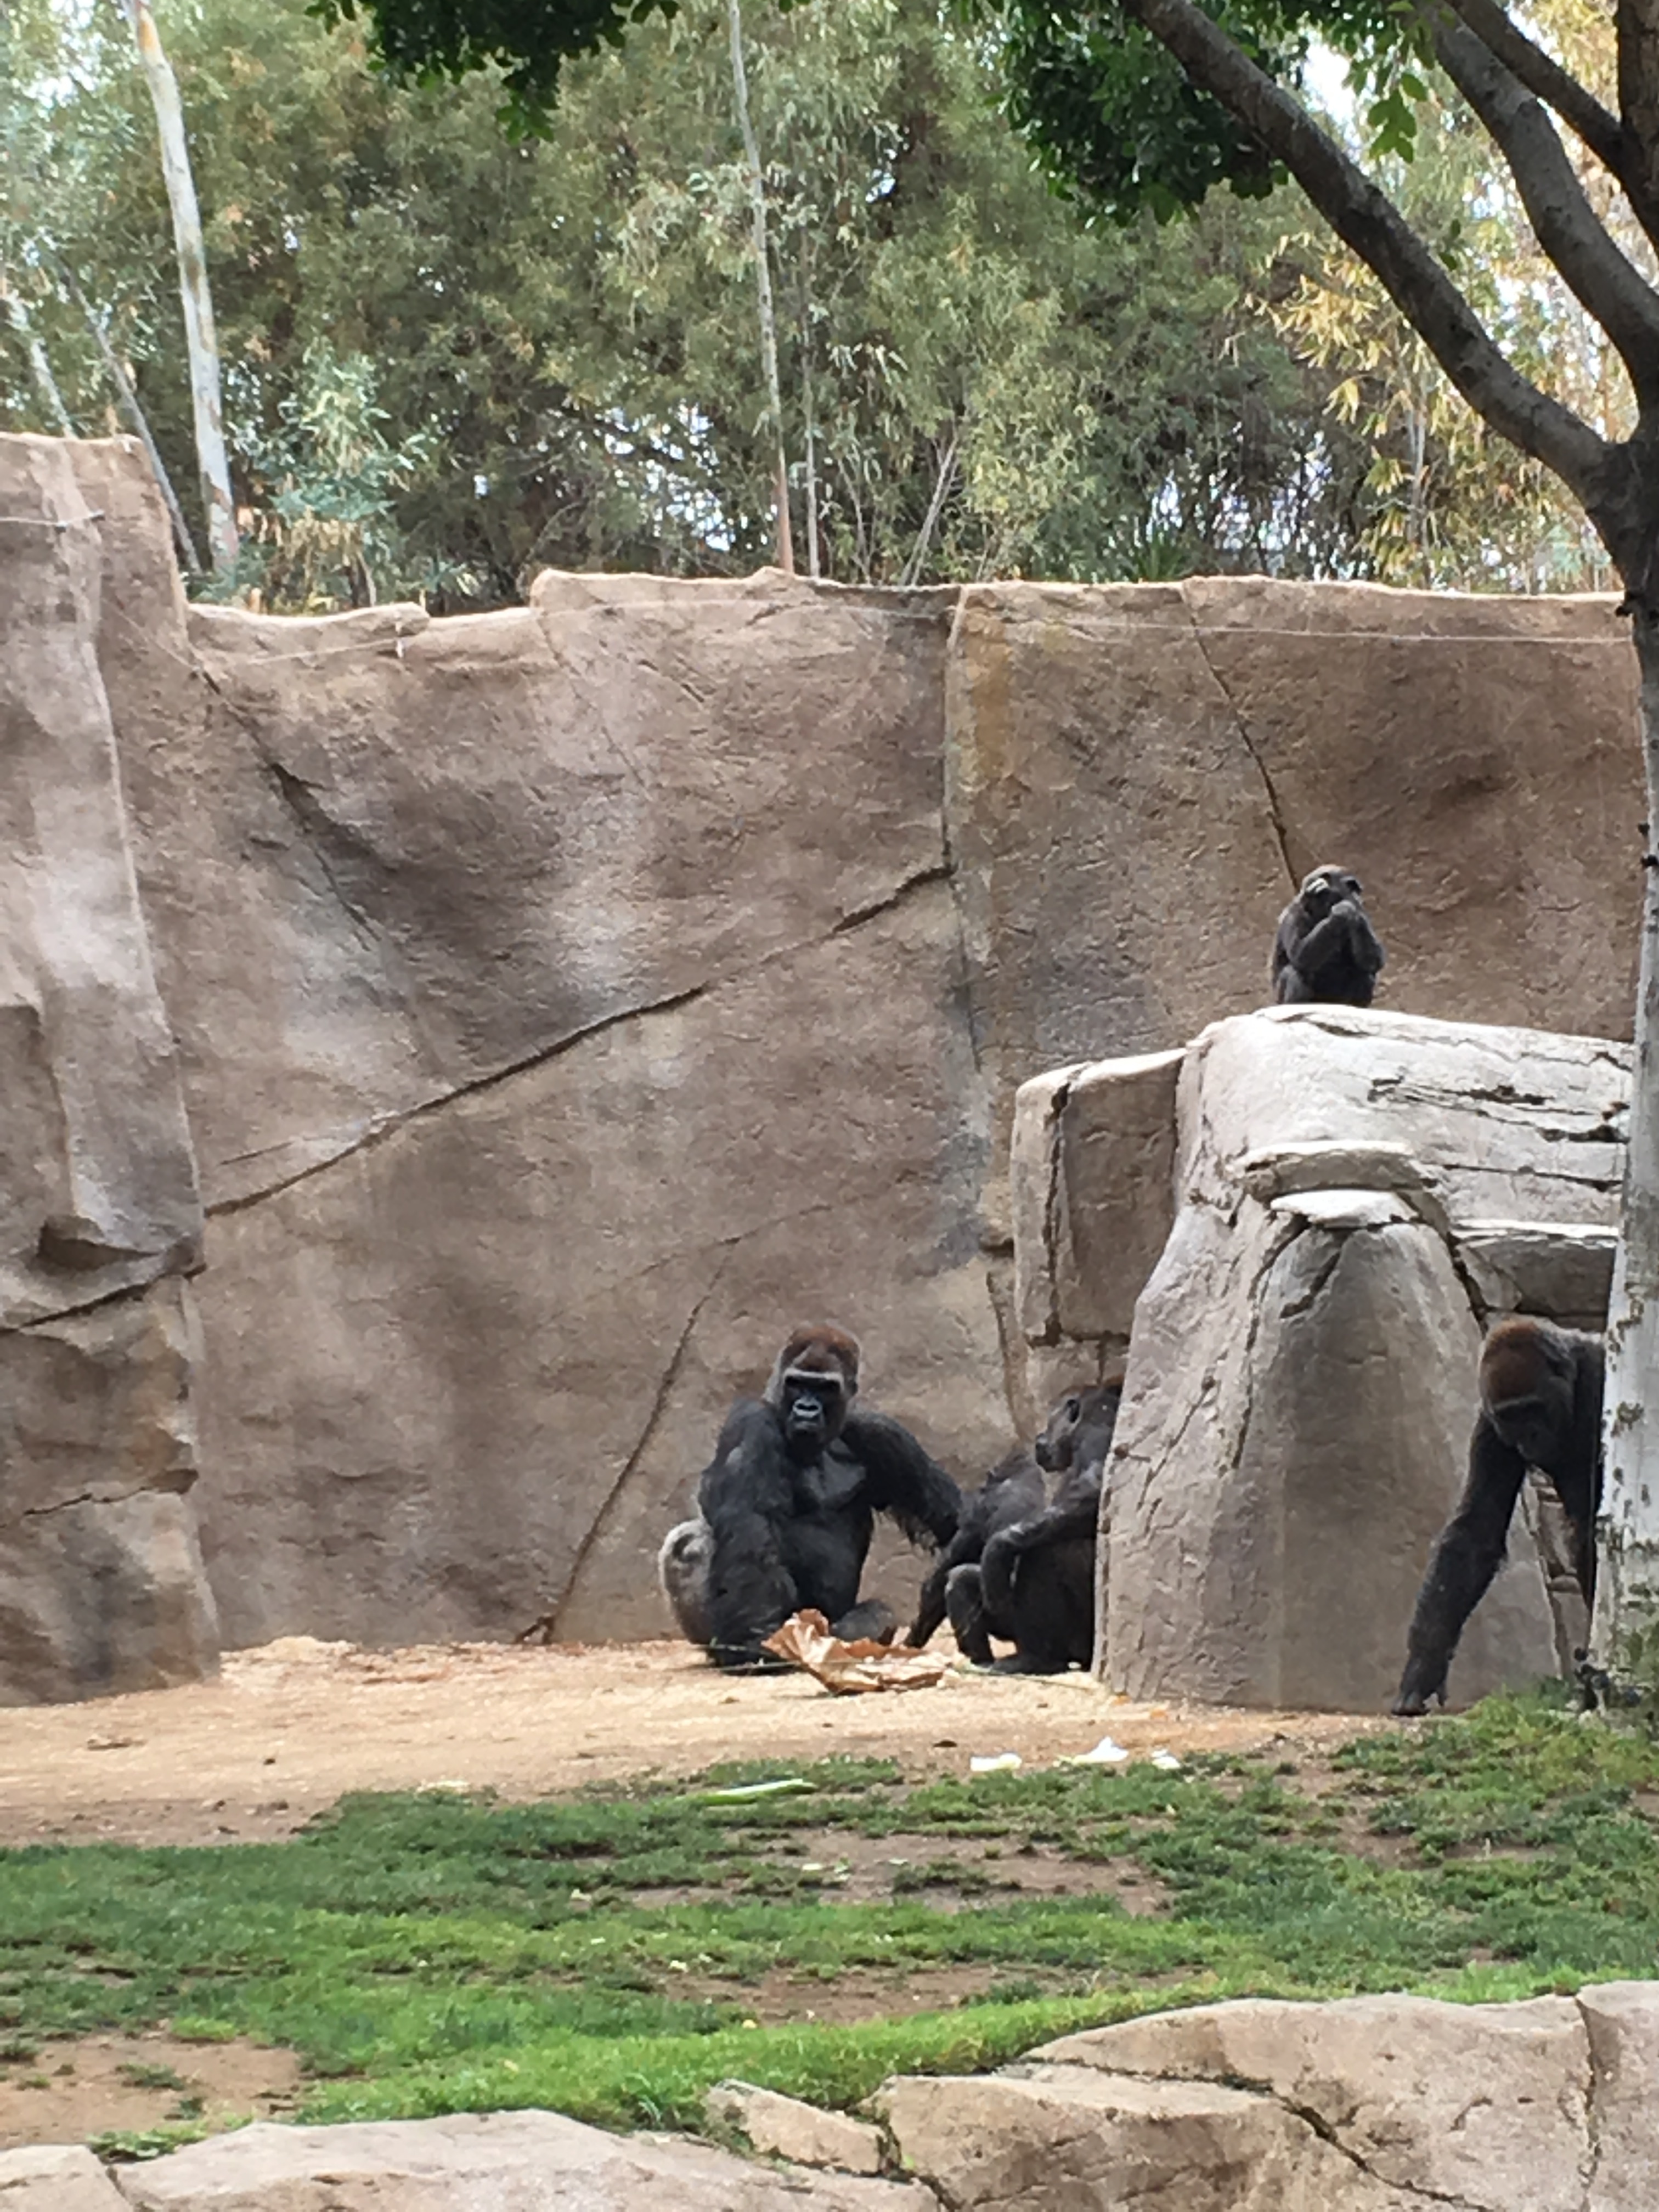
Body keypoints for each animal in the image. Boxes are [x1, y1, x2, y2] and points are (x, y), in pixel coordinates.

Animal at [654, 1318, 960, 1663]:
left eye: (825, 1388)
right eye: (797, 1384)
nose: (807, 1408)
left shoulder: (884, 1434)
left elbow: (951, 1518)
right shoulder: (751, 1422)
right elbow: (748, 1533)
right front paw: (753, 1644)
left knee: (876, 1615)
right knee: (689, 1542)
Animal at [916, 1380, 1124, 1672]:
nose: (1040, 1437)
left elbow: (1094, 1488)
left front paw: (1000, 1545)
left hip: (1079, 1635)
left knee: (1042, 1552)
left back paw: (1031, 1659)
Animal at [1274, 858, 1389, 1008]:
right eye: (1352, 887)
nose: (1358, 897)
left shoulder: (1361, 915)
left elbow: (1375, 959)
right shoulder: (1294, 914)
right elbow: (1299, 954)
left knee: (1365, 974)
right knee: (1294, 973)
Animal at [1389, 1318, 1610, 1716]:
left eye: (1534, 1409)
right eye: (1511, 1416)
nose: (1530, 1438)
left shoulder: (1599, 1387)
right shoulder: (1490, 1422)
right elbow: (1475, 1533)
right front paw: (1423, 1666)